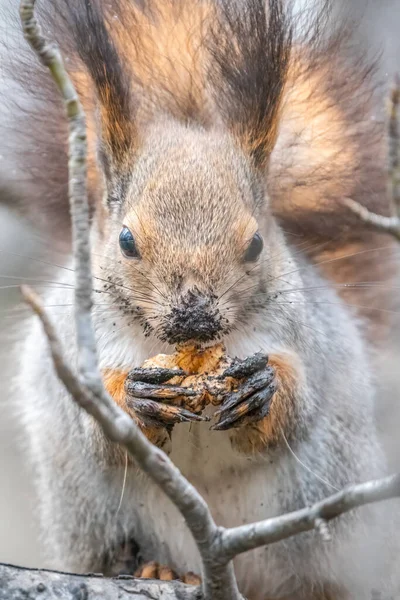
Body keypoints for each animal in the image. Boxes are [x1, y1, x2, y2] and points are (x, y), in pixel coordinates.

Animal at [1, 0, 398, 596]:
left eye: (256, 243)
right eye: (126, 241)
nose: (194, 316)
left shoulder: (304, 332)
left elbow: (296, 411)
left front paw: (264, 388)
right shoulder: (79, 348)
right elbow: (99, 430)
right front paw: (138, 395)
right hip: (92, 509)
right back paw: (148, 564)